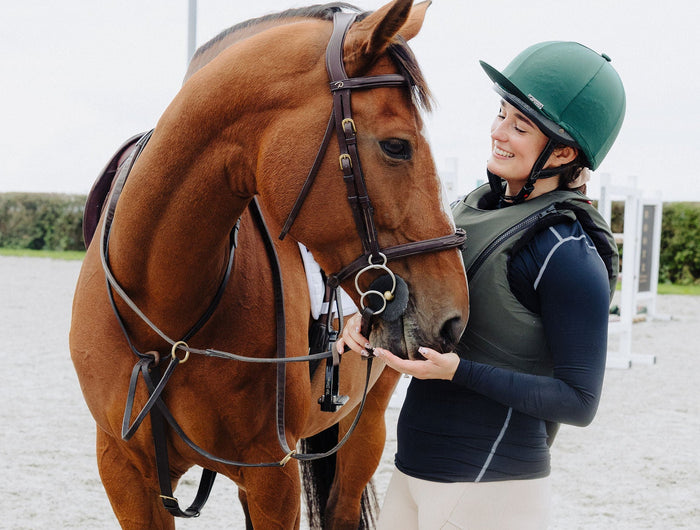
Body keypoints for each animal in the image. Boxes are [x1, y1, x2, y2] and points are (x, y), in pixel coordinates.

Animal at [70, 1, 469, 528]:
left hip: (367, 421)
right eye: (396, 146)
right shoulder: (124, 472)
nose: (453, 318)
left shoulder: (272, 475)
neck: (163, 309)